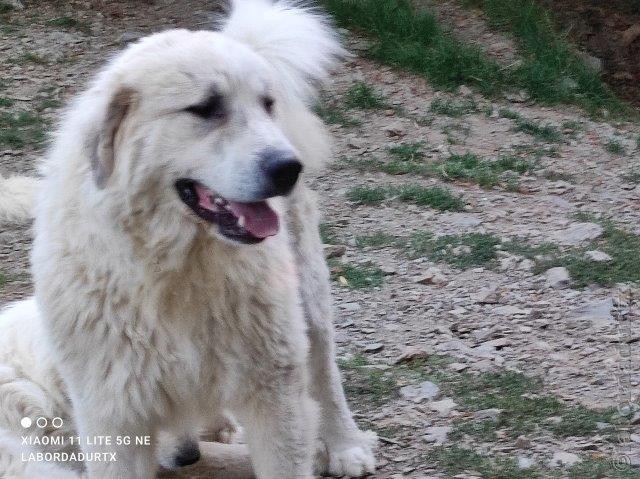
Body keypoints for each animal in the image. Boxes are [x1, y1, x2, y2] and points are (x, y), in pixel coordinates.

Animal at [0, 1, 376, 478]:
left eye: (267, 105)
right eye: (205, 108)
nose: (289, 168)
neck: (174, 266)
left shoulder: (273, 392)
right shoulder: (112, 411)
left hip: (307, 289)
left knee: (324, 366)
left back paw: (345, 446)